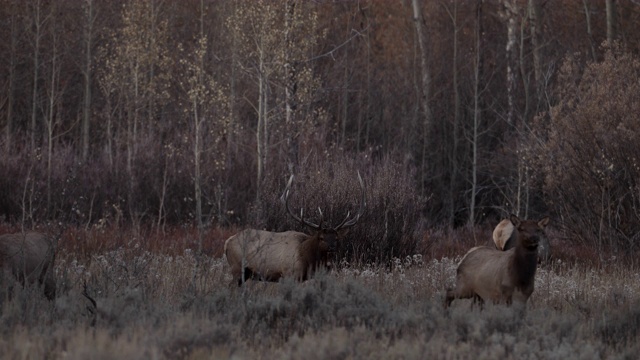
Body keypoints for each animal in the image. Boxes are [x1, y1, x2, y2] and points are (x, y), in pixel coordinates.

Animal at [225, 173, 364, 286]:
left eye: (336, 238)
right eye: (321, 238)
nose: (332, 247)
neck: (308, 259)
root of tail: (227, 242)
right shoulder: (290, 274)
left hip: (246, 273)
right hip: (237, 267)